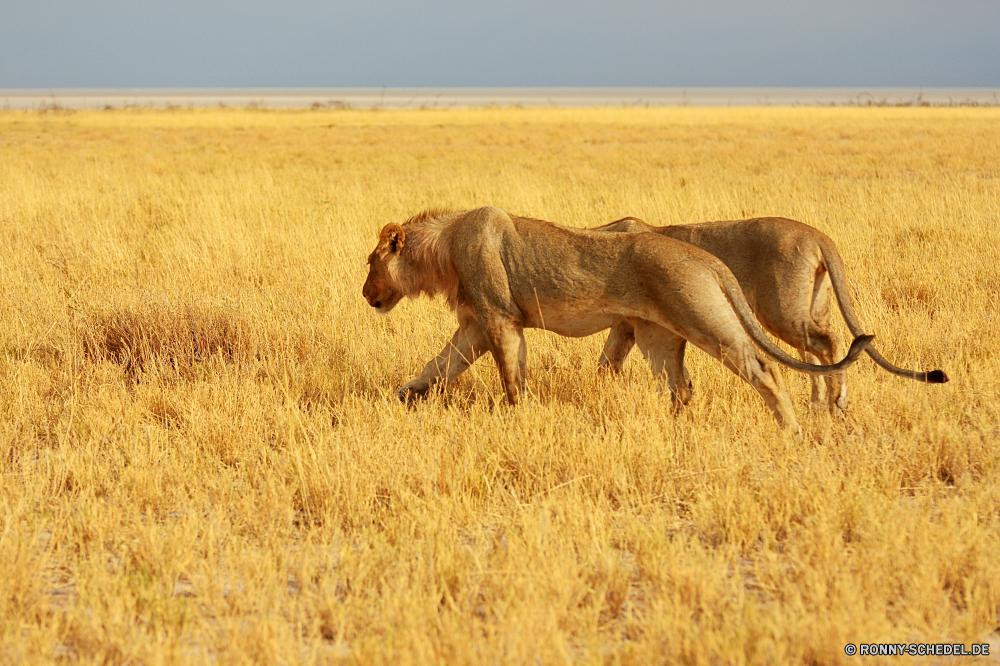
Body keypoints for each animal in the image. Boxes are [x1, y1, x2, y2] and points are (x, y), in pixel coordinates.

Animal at [364, 205, 872, 428]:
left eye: (370, 264)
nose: (365, 294)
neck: (445, 247)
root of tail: (708, 260)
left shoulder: (499, 319)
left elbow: (511, 376)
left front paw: (520, 415)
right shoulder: (475, 323)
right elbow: (440, 364)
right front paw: (405, 395)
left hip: (709, 317)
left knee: (768, 365)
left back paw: (794, 428)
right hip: (658, 336)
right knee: (682, 387)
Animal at [596, 214, 948, 410]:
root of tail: (818, 236)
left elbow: (609, 360)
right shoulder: (628, 323)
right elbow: (608, 362)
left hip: (779, 310)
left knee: (828, 342)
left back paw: (836, 403)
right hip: (809, 306)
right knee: (815, 350)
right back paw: (818, 404)